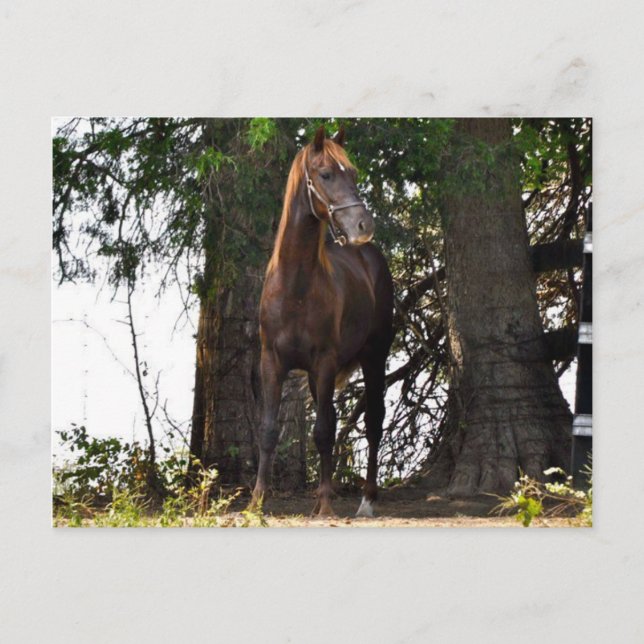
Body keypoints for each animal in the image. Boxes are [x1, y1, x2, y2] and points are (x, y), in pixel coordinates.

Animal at [251, 125, 394, 517]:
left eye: (354, 174)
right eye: (326, 174)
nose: (363, 225)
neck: (295, 287)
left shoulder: (326, 362)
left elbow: (323, 432)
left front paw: (326, 502)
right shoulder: (272, 362)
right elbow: (268, 430)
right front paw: (257, 500)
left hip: (373, 358)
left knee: (373, 422)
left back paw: (366, 500)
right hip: (318, 378)